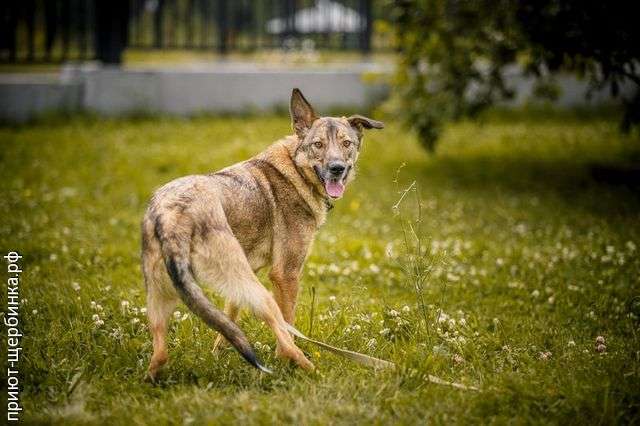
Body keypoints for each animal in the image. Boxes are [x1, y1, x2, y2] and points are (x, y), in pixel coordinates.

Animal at [144, 87, 384, 380]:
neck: (296, 170)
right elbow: (288, 324)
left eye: (346, 143)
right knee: (284, 333)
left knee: (160, 353)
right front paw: (284, 363)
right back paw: (310, 369)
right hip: (258, 292)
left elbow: (228, 321)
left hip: (164, 299)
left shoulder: (245, 278)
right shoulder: (285, 274)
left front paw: (218, 353)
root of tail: (172, 215)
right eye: (318, 145)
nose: (337, 168)